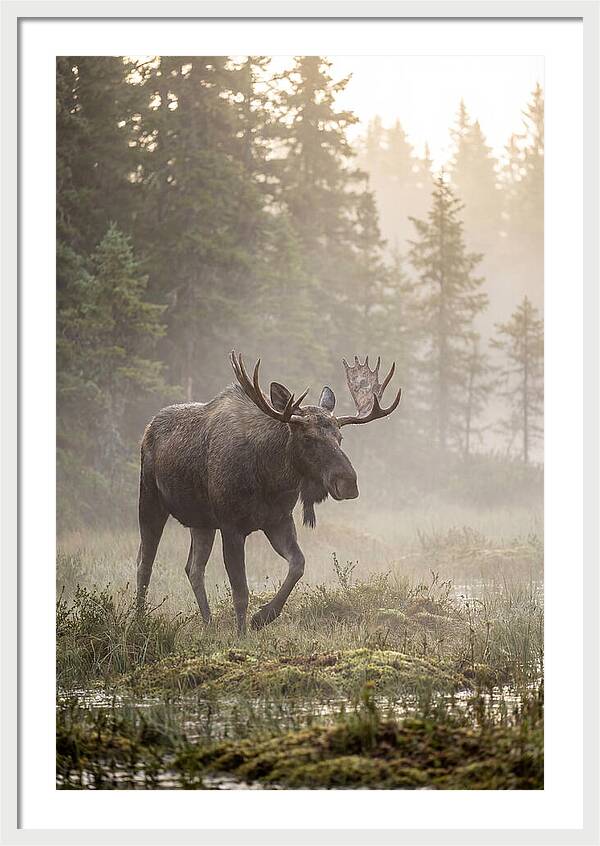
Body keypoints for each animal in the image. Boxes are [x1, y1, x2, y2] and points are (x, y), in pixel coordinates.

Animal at [136, 351, 401, 633]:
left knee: (193, 568)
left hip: (201, 522)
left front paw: (262, 617)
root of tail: (148, 428)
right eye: (308, 438)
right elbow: (241, 592)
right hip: (150, 500)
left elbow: (298, 565)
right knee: (145, 562)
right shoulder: (231, 526)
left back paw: (207, 623)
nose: (349, 483)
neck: (270, 478)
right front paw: (242, 634)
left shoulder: (278, 520)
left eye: (340, 438)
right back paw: (139, 619)